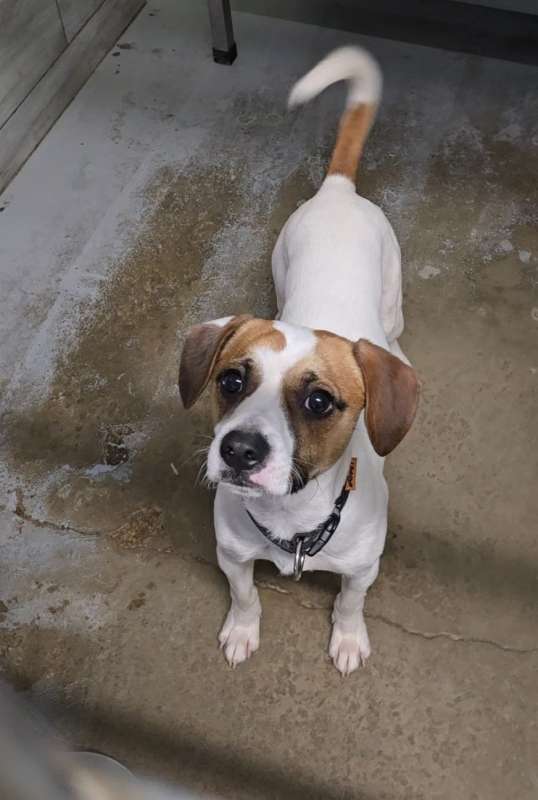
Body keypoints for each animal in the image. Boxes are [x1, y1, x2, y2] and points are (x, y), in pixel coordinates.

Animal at [179, 47, 419, 675]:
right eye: (231, 380)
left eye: (318, 400)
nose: (238, 450)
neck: (291, 520)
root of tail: (338, 189)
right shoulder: (232, 555)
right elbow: (245, 595)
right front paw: (242, 630)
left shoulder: (362, 570)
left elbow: (350, 603)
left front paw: (349, 638)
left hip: (394, 299)